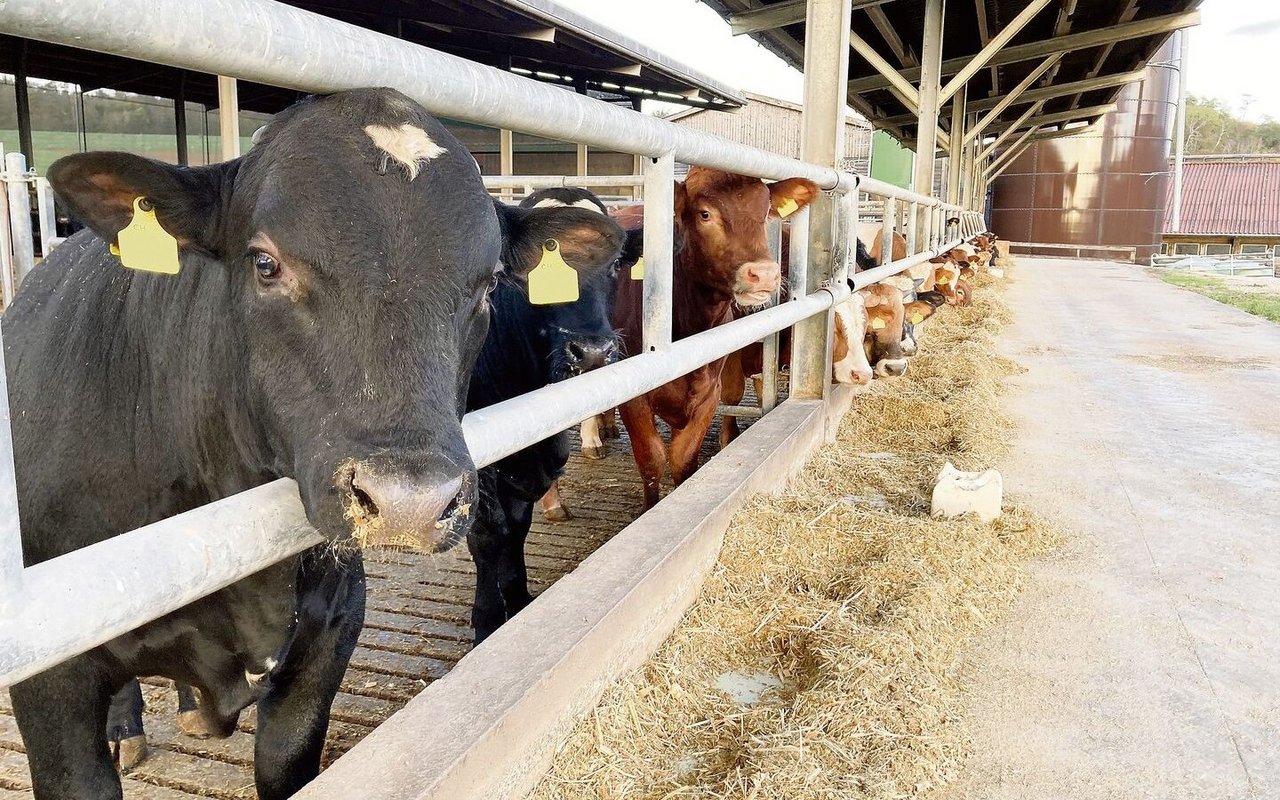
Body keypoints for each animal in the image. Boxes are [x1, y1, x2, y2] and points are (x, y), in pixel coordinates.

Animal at [611, 166, 814, 504]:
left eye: (765, 212)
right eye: (705, 214)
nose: (764, 274)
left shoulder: (708, 392)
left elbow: (683, 459)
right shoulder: (634, 399)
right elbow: (651, 460)